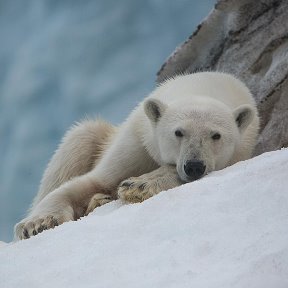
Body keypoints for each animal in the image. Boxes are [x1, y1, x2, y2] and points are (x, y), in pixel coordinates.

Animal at [14, 72, 260, 241]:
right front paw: (37, 223)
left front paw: (138, 185)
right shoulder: (138, 139)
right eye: (178, 132)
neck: (203, 87)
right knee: (78, 141)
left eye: (216, 135)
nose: (194, 166)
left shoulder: (239, 152)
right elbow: (89, 182)